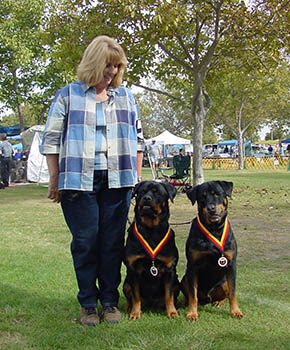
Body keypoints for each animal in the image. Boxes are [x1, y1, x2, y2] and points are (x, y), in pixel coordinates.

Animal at [122, 180, 179, 320]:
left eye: (157, 192)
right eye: (142, 192)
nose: (146, 198)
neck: (151, 230)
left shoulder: (169, 269)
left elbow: (168, 295)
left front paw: (172, 312)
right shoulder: (133, 269)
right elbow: (136, 296)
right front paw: (135, 313)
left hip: (177, 282)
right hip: (126, 283)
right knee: (129, 296)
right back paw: (128, 308)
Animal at [181, 182, 242, 322]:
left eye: (217, 194)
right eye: (202, 197)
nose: (211, 208)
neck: (214, 229)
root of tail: (207, 297)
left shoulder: (231, 264)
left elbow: (233, 292)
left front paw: (235, 311)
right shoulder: (192, 266)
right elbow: (193, 294)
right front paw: (192, 313)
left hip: (224, 282)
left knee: (226, 294)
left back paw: (218, 302)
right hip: (185, 278)